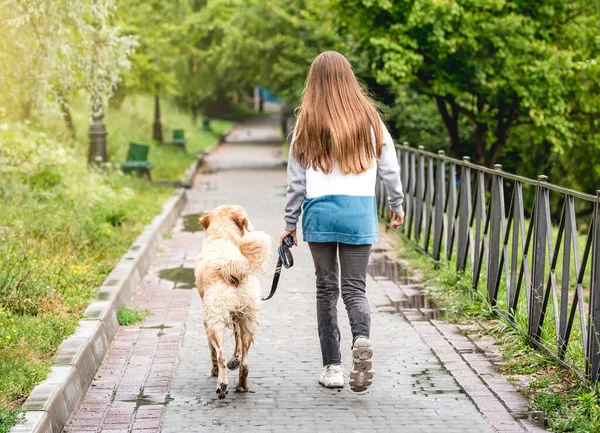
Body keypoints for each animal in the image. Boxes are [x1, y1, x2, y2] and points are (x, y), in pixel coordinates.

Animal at [193, 205, 270, 398]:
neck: (223, 238)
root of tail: (230, 266)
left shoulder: (207, 321)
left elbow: (212, 350)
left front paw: (214, 370)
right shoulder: (237, 315)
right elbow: (237, 340)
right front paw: (235, 359)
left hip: (215, 320)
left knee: (220, 353)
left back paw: (222, 385)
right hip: (248, 318)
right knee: (245, 361)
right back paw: (242, 385)